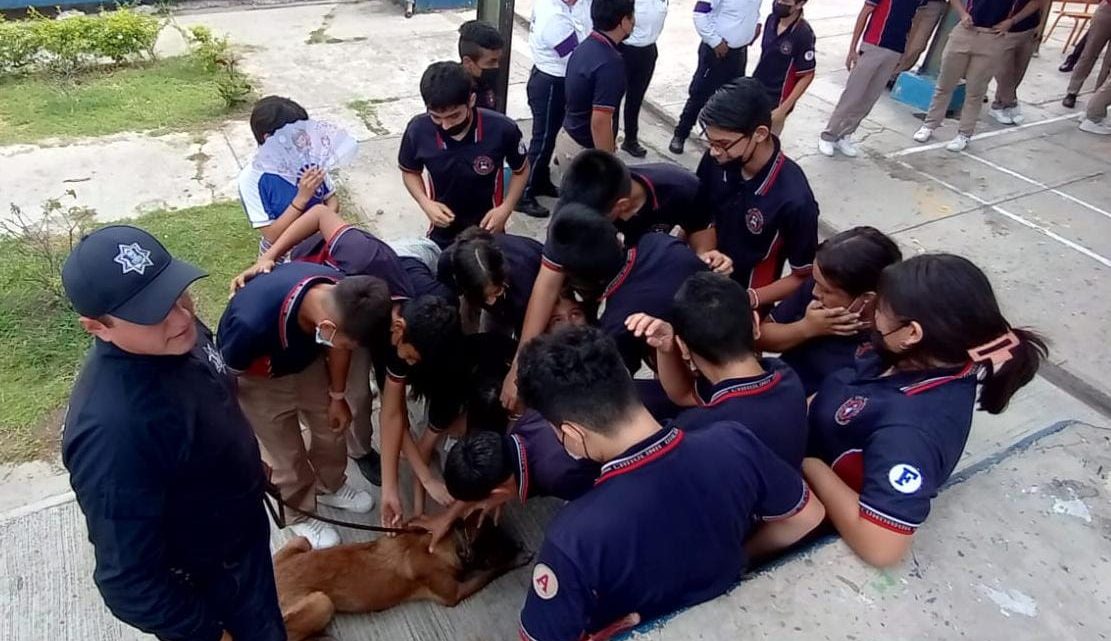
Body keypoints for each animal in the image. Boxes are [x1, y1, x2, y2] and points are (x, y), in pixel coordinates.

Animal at [271, 517, 526, 635]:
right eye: (496, 542)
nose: (519, 544)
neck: (449, 543)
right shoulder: (453, 594)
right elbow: (489, 573)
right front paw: (518, 560)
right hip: (322, 602)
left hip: (300, 543)